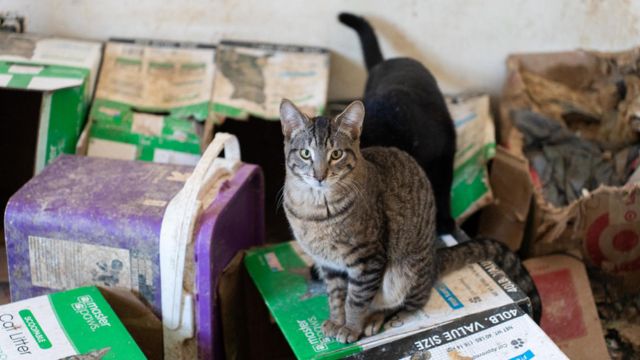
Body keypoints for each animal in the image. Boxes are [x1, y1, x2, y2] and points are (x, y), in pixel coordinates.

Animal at [280, 98, 540, 344]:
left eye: (336, 154)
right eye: (305, 154)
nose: (319, 176)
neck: (315, 210)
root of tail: (434, 259)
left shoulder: (367, 259)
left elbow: (355, 300)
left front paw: (351, 327)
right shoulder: (329, 266)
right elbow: (336, 297)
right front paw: (337, 320)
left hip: (403, 273)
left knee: (409, 303)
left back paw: (376, 318)